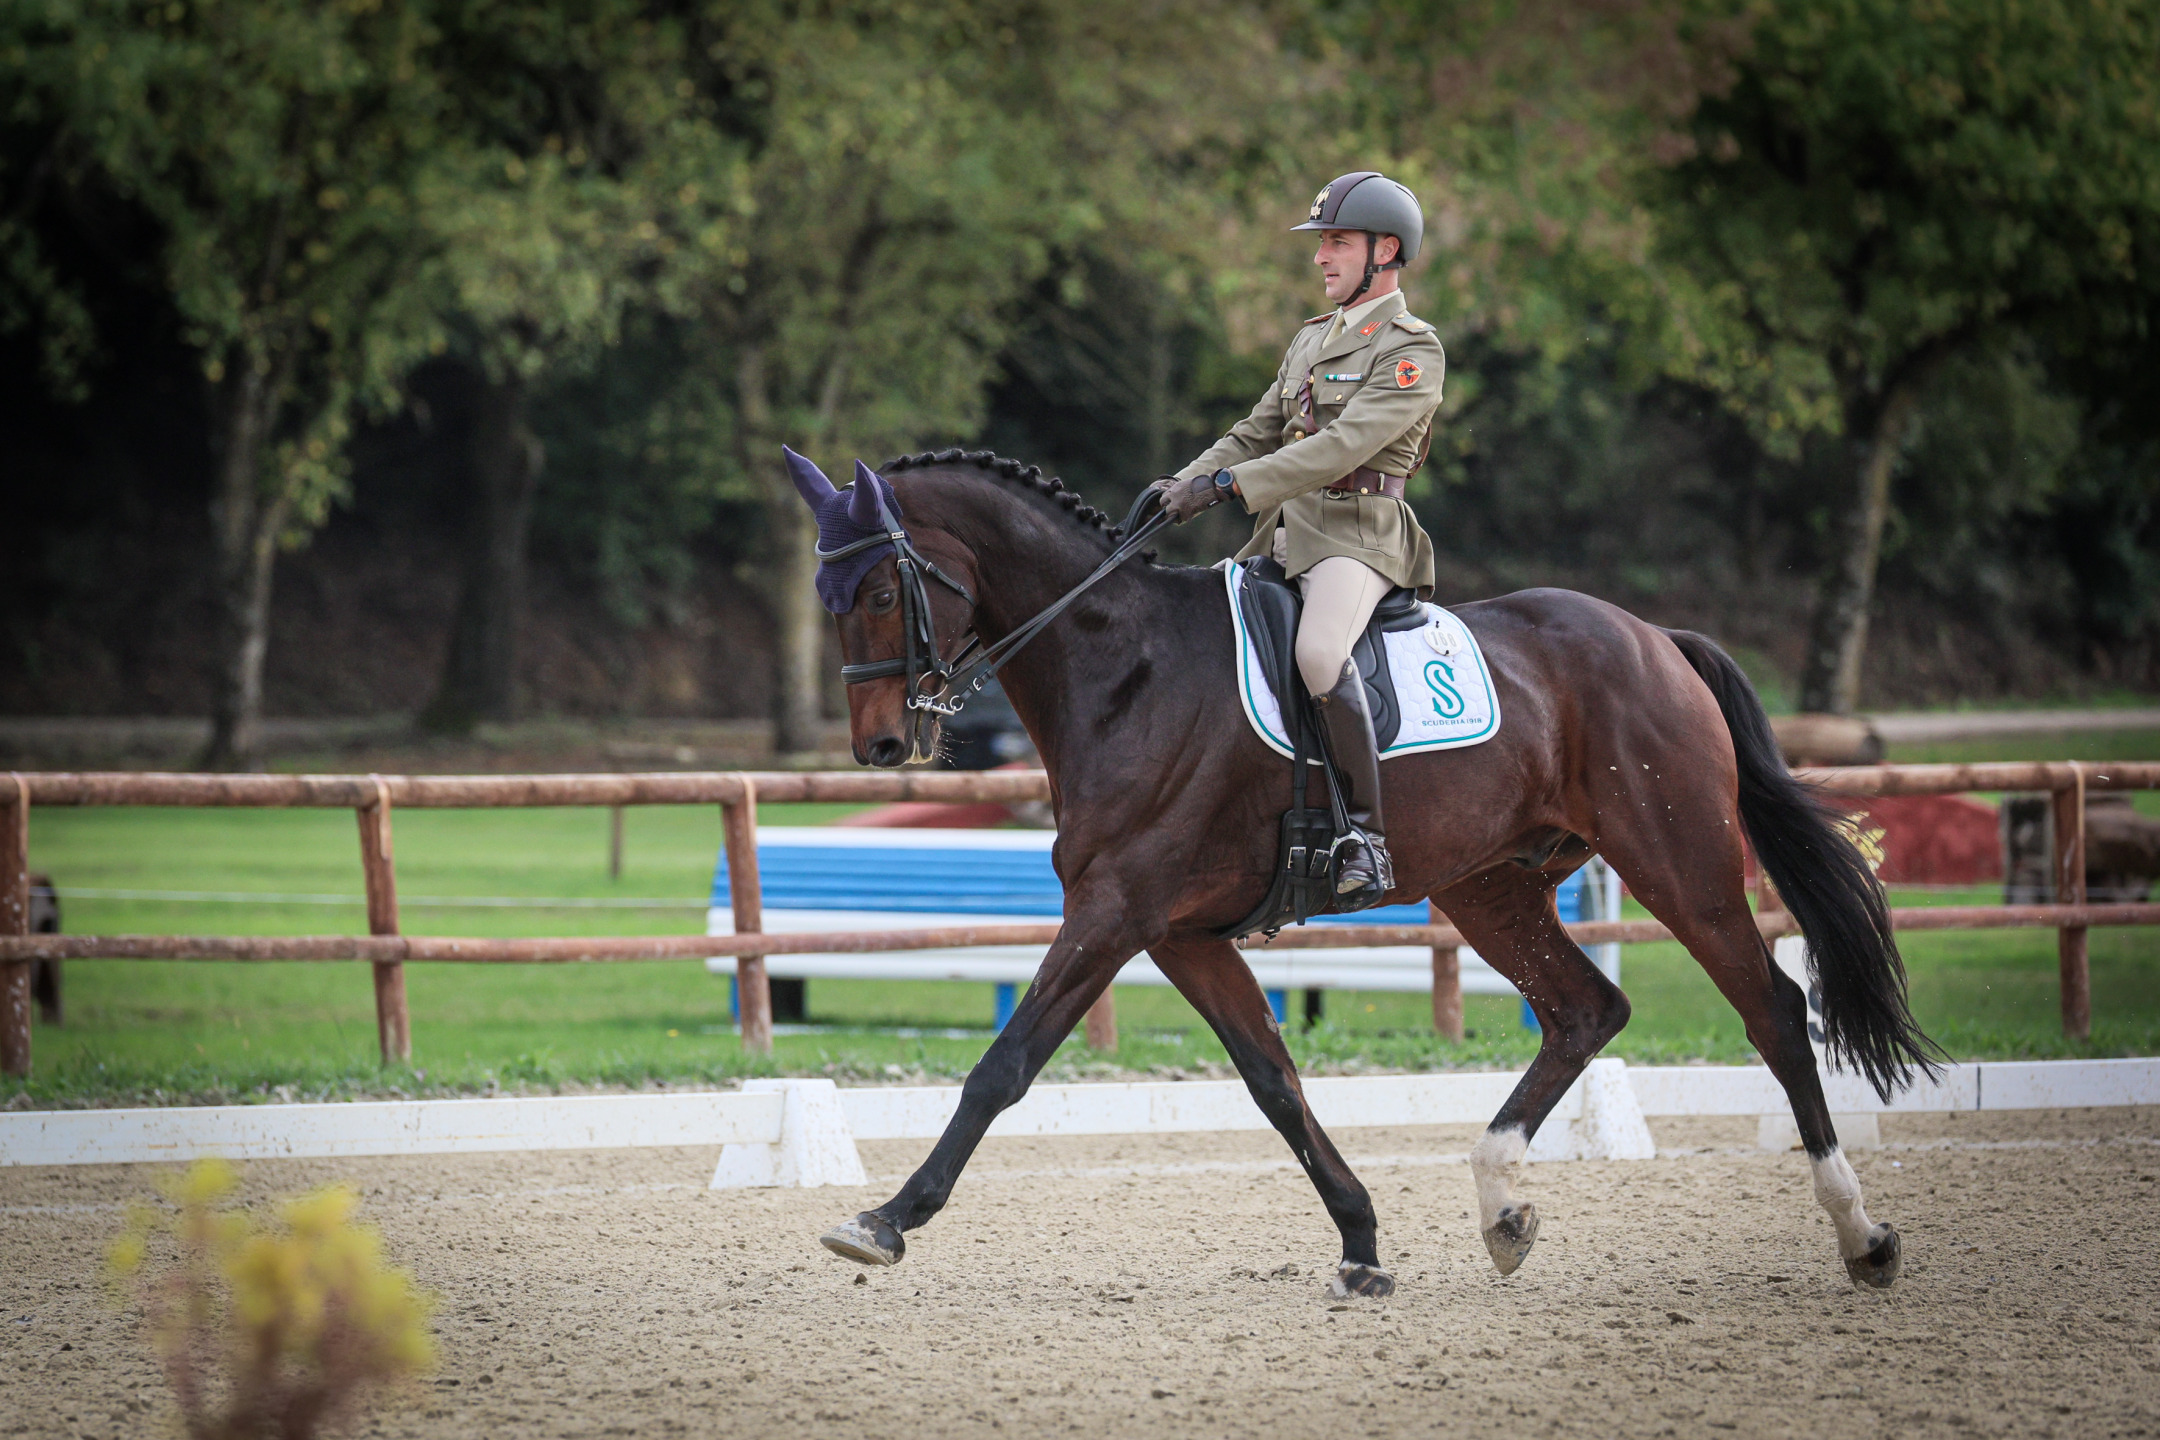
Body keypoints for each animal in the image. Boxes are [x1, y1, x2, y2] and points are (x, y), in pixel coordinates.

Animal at [794, 446, 1944, 1295]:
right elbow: (1273, 1079)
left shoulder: (1116, 912)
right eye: (826, 594)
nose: (883, 746)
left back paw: (1862, 1237)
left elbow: (1005, 1066)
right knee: (1585, 1010)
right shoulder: (1179, 932)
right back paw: (1502, 1208)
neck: (1124, 668)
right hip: (1489, 886)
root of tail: (1653, 636)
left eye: (884, 588)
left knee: (1772, 1012)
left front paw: (885, 1220)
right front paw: (1361, 1242)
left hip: (1677, 859)